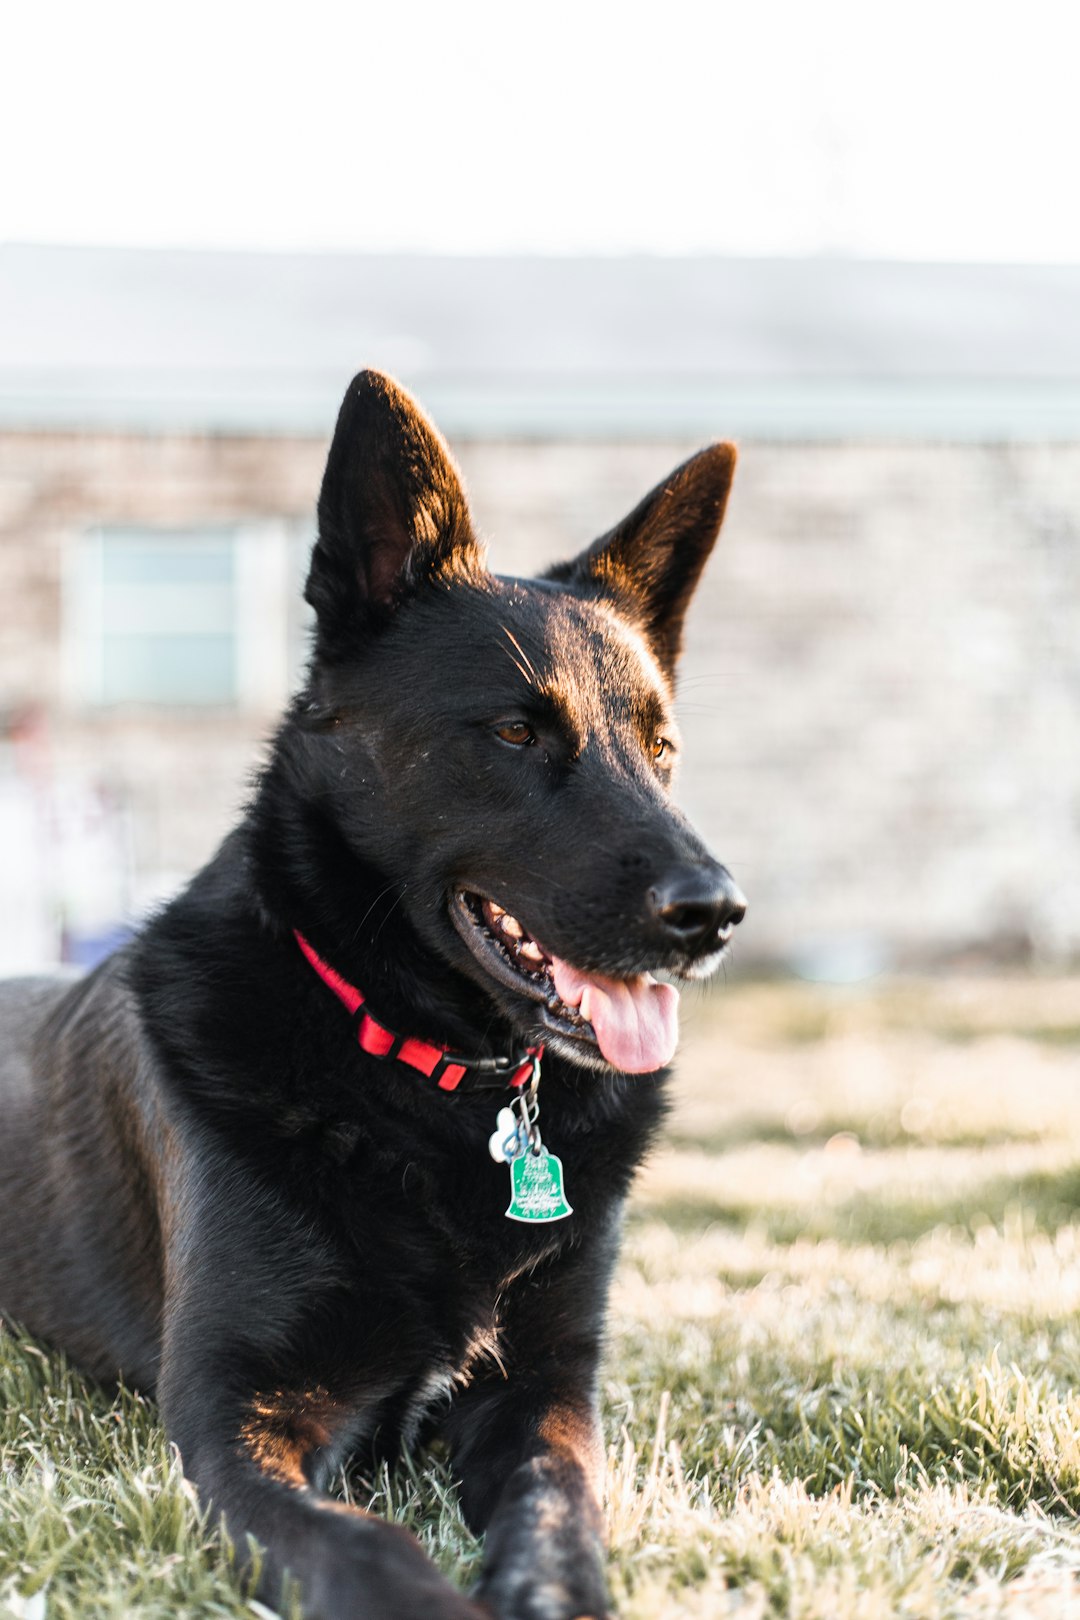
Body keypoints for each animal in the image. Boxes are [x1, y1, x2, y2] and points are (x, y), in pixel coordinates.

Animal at [0, 372, 744, 1620]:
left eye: (660, 746)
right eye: (514, 729)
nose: (716, 914)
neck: (433, 1082)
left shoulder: (547, 1390)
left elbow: (560, 1505)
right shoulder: (236, 1413)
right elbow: (369, 1550)